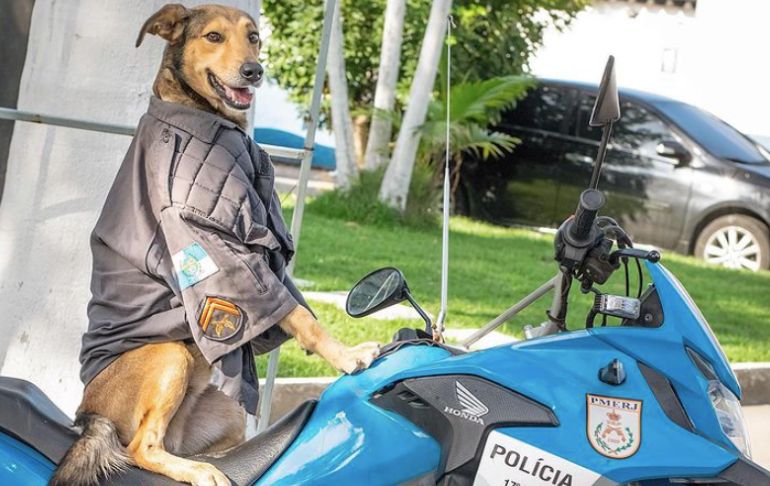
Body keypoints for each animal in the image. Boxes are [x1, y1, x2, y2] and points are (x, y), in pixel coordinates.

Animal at [49, 4, 380, 486]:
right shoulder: (219, 247)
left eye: (254, 37)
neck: (196, 110)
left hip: (226, 414)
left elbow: (295, 305)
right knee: (140, 448)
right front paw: (347, 357)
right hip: (171, 356)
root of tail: (89, 416)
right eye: (213, 37)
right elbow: (300, 315)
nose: (254, 71)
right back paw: (203, 472)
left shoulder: (263, 254)